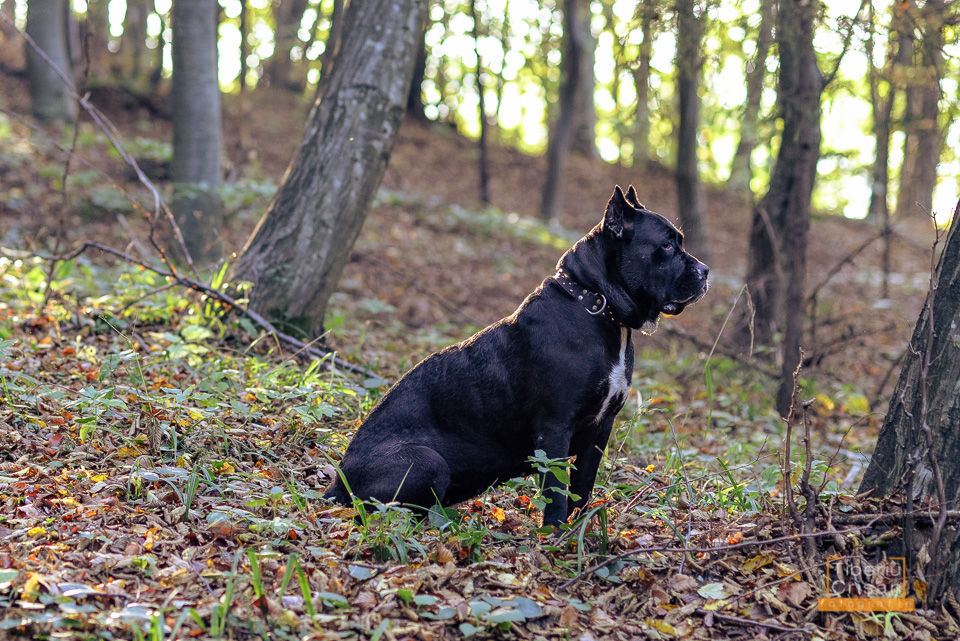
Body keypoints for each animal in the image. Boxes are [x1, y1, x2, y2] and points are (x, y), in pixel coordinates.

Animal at [326, 185, 708, 524]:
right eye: (666, 245)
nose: (705, 271)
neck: (595, 305)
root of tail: (336, 483)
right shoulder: (554, 428)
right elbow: (556, 491)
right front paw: (554, 538)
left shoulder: (600, 428)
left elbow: (582, 486)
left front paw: (578, 532)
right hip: (426, 461)